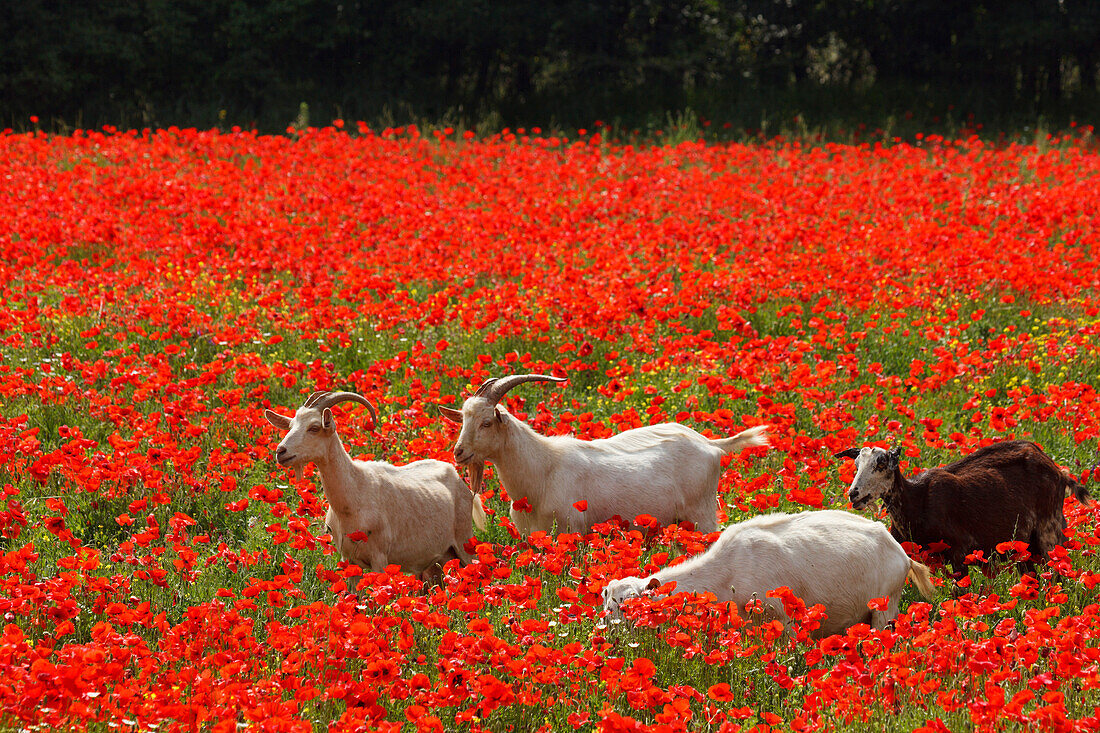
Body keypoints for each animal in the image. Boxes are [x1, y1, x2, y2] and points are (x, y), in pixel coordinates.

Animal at [264, 391, 484, 572]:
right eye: (290, 426)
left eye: (314, 427)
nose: (281, 451)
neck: (354, 495)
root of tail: (462, 484)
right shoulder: (348, 559)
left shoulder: (380, 558)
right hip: (437, 562)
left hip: (464, 542)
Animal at [435, 374, 765, 534]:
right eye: (462, 420)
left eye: (486, 422)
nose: (459, 452)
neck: (543, 469)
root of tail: (712, 444)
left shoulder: (572, 531)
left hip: (703, 515)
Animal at [602, 508, 937, 633]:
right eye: (606, 603)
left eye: (630, 604)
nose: (609, 631)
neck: (728, 570)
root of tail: (902, 554)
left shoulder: (782, 617)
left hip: (885, 609)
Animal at [836, 440, 1086, 572]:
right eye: (856, 464)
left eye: (881, 465)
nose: (853, 494)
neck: (916, 501)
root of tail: (1059, 472)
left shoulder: (959, 551)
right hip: (1026, 547)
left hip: (1048, 533)